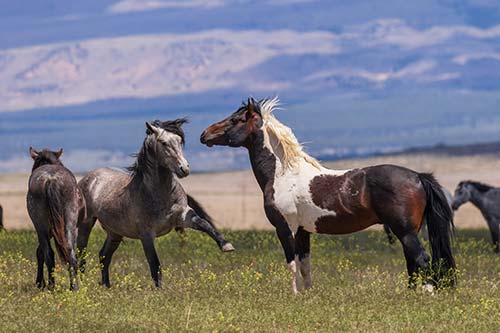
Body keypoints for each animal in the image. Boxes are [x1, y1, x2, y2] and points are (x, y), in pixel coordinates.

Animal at [26, 147, 84, 290]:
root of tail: (50, 180)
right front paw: (40, 282)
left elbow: (39, 251)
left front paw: (40, 282)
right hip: (65, 224)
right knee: (62, 252)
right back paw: (64, 286)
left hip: (44, 227)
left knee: (57, 253)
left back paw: (62, 286)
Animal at [77, 119, 235, 288]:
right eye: (164, 143)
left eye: (179, 140)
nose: (184, 169)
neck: (160, 195)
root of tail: (89, 177)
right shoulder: (146, 235)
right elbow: (154, 264)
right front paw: (160, 290)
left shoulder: (183, 217)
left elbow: (204, 223)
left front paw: (226, 246)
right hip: (86, 224)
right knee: (81, 254)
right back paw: (81, 285)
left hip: (115, 232)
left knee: (104, 256)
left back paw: (107, 286)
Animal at [201, 97, 456, 292]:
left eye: (235, 120)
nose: (204, 134)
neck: (283, 173)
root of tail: (418, 176)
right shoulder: (302, 231)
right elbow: (305, 265)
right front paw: (308, 295)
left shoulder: (285, 228)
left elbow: (291, 264)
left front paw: (294, 295)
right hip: (408, 231)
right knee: (413, 262)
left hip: (405, 231)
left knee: (422, 259)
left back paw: (427, 294)